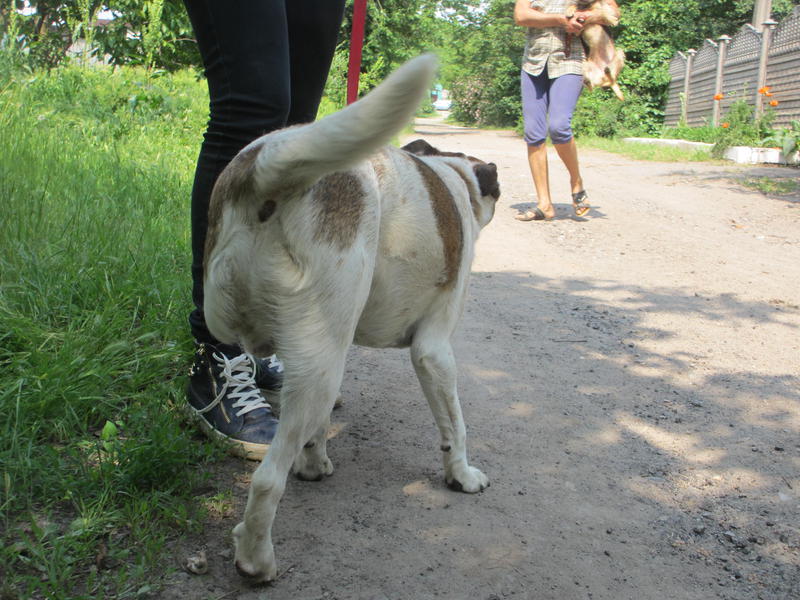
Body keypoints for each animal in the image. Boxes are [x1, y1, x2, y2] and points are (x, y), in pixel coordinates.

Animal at [202, 55, 500, 580]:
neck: (452, 177)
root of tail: (264, 168)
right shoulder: (433, 352)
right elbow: (455, 426)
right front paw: (461, 475)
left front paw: (314, 463)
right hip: (321, 372)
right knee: (266, 482)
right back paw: (255, 560)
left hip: (311, 352)